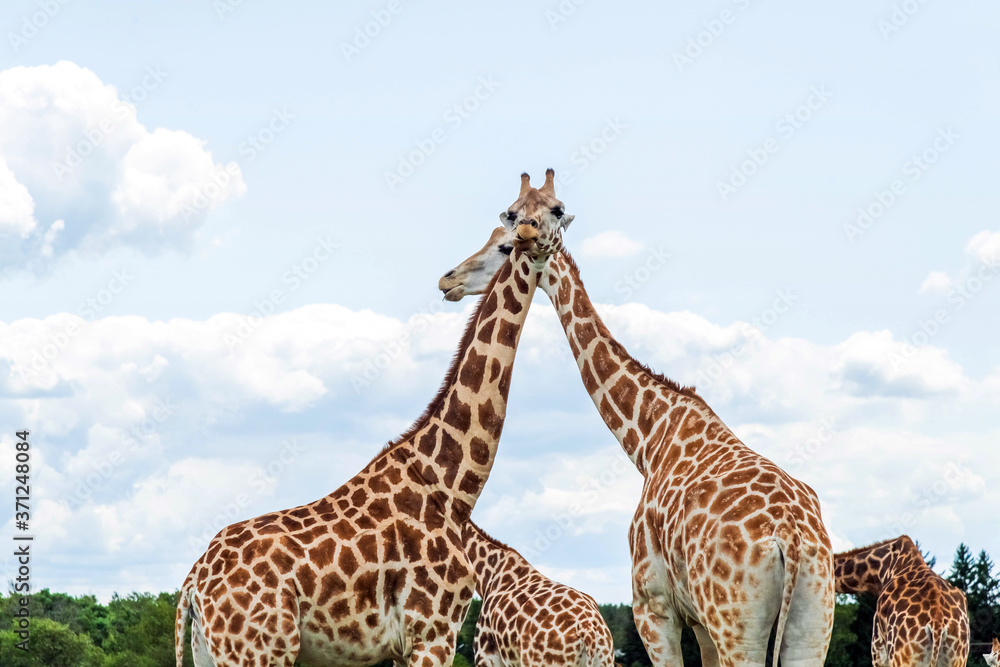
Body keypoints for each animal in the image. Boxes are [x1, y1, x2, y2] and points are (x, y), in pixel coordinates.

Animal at [174, 172, 572, 667]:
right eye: (512, 218)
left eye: (556, 209)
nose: (448, 279)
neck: (452, 487)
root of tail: (192, 585)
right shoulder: (433, 632)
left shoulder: (403, 646)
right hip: (259, 651)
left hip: (212, 650)